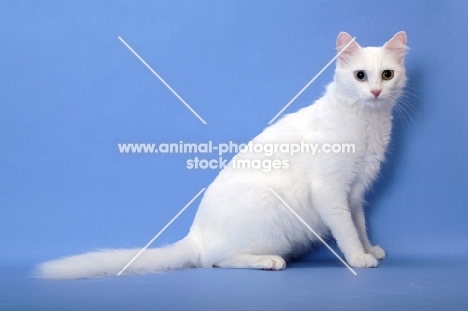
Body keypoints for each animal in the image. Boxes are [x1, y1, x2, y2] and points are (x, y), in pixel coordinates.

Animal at [38, 31, 408, 280]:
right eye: (360, 76)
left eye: (387, 75)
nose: (376, 91)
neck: (369, 123)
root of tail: (196, 236)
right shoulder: (330, 191)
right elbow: (346, 230)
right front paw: (358, 258)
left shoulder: (355, 193)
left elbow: (359, 225)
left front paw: (370, 250)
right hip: (269, 213)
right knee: (216, 260)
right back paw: (269, 262)